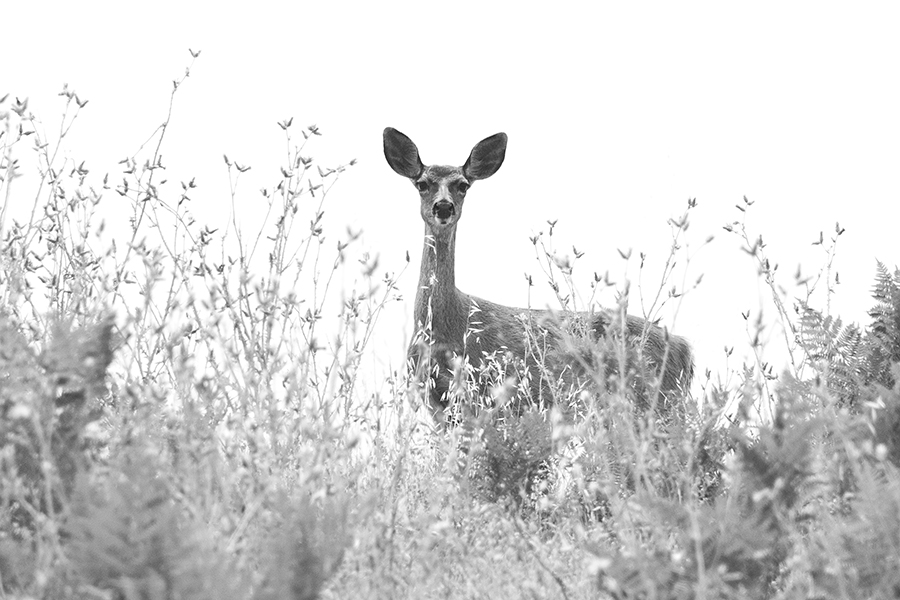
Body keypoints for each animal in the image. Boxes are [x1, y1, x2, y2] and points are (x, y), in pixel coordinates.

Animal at [383, 127, 694, 425]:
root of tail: (686, 348)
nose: (444, 206)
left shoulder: (483, 396)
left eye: (463, 185)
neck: (445, 325)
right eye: (422, 184)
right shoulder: (437, 406)